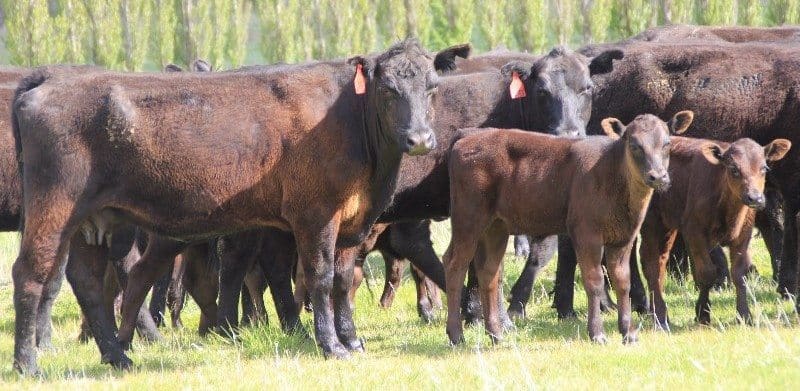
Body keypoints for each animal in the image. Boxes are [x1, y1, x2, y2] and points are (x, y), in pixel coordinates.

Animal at [9, 40, 444, 376]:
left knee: (86, 282)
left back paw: (118, 358)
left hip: (90, 221)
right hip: (55, 208)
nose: (421, 139)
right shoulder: (315, 214)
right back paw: (28, 365)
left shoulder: (353, 219)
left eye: (432, 88)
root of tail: (50, 80)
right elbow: (320, 278)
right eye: (388, 90)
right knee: (30, 275)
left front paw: (352, 340)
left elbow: (342, 279)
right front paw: (330, 345)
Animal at [444, 112, 692, 344]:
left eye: (667, 143)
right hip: (468, 218)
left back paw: (496, 335)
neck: (611, 174)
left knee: (489, 272)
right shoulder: (586, 232)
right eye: (634, 145)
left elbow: (623, 282)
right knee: (455, 265)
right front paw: (597, 333)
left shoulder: (624, 237)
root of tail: (465, 139)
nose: (658, 176)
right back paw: (456, 335)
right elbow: (594, 281)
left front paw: (628, 333)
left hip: (496, 226)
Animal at [640, 136, 792, 330]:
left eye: (764, 168)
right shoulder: (694, 232)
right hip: (651, 223)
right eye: (733, 169)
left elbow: (739, 274)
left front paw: (744, 315)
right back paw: (659, 317)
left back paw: (660, 314)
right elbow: (707, 273)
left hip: (668, 226)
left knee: (660, 262)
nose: (755, 198)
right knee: (650, 265)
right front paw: (703, 313)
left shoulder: (743, 236)